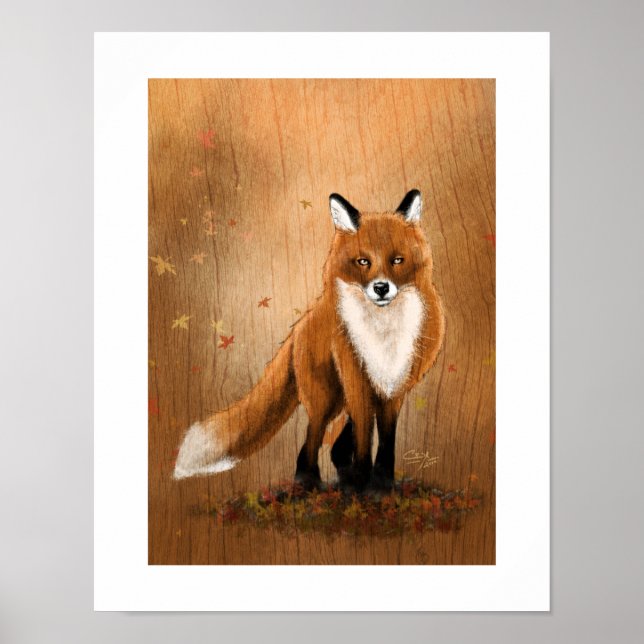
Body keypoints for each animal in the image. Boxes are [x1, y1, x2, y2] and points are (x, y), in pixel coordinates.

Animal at [173, 189, 445, 491]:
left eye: (397, 260)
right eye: (363, 261)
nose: (381, 288)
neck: (383, 333)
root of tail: (305, 320)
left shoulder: (394, 387)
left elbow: (386, 442)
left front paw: (380, 487)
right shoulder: (357, 378)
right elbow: (363, 439)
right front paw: (361, 487)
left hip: (343, 397)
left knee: (336, 448)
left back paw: (340, 478)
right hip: (326, 396)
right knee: (311, 438)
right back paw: (309, 482)